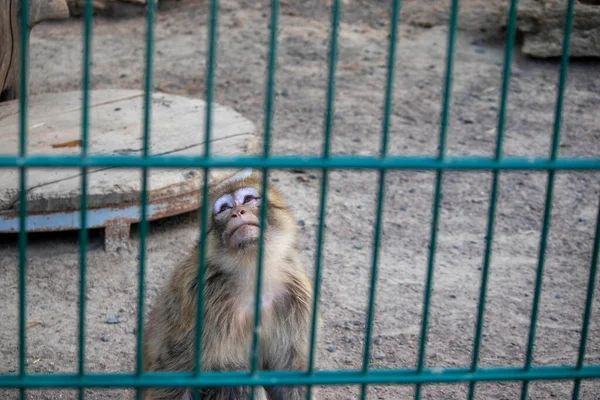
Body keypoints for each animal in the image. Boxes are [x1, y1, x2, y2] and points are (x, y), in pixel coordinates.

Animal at [142, 170, 316, 400]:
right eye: (224, 209)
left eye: (248, 199)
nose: (237, 212)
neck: (252, 276)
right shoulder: (202, 302)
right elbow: (173, 371)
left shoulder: (298, 299)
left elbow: (291, 372)